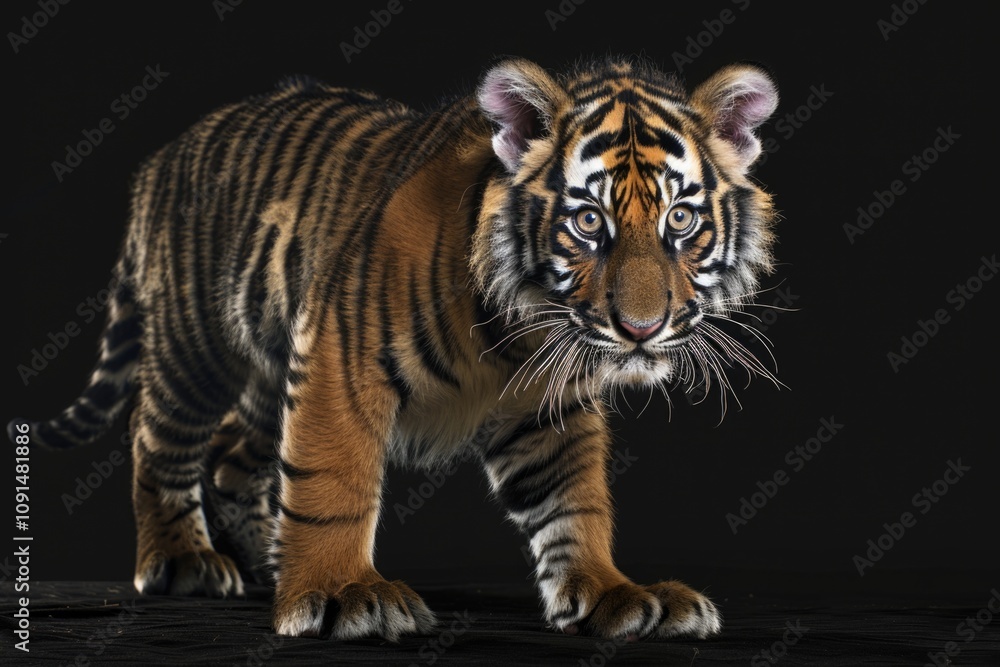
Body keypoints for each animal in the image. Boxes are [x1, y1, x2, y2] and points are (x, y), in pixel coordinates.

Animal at [8, 55, 779, 641]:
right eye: (589, 222)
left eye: (680, 220)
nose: (641, 328)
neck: (521, 330)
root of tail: (162, 155)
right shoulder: (336, 357)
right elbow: (331, 481)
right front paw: (341, 593)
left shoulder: (546, 408)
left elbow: (575, 500)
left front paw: (610, 591)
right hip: (197, 347)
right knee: (158, 442)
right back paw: (185, 560)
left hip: (267, 367)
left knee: (232, 458)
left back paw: (267, 559)